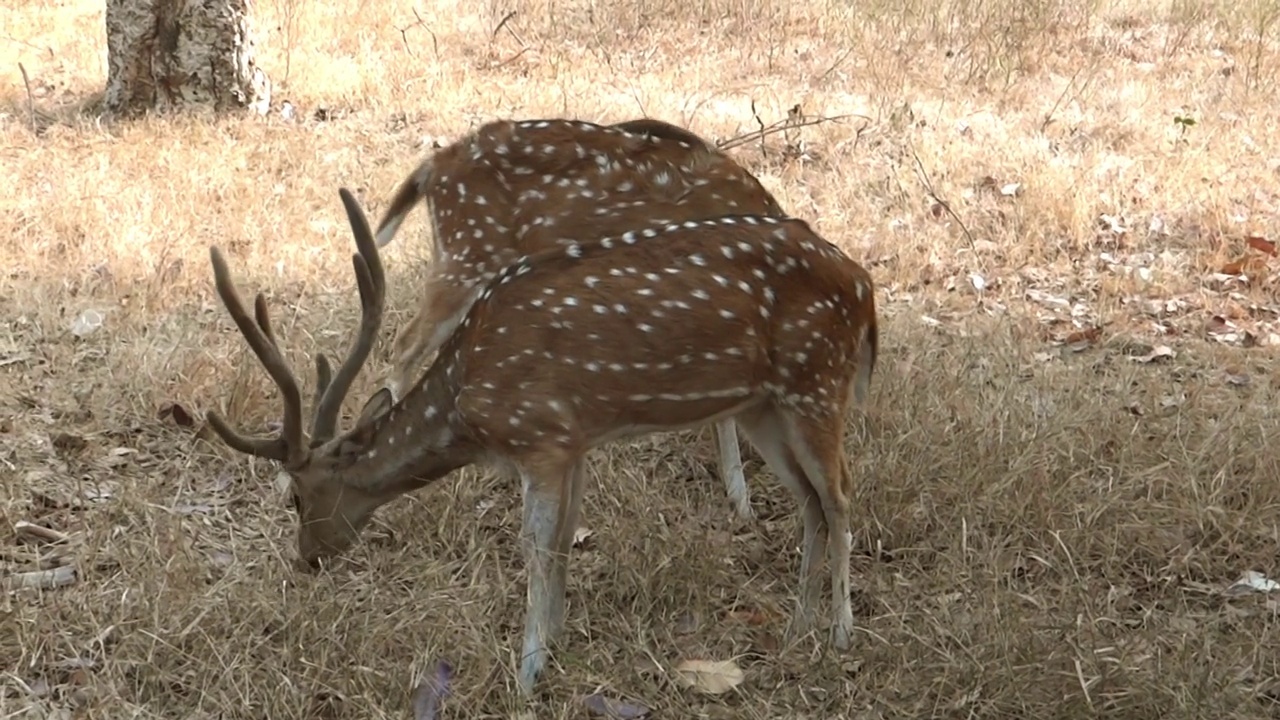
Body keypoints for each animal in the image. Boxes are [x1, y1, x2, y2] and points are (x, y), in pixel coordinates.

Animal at [204, 188, 880, 691]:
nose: (306, 558)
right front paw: (553, 643)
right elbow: (562, 540)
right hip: (765, 406)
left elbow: (535, 544)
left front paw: (527, 671)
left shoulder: (540, 435)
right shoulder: (575, 439)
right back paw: (797, 627)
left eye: (296, 496)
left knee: (842, 494)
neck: (469, 403)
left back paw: (841, 633)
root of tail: (864, 285)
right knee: (811, 501)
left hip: (817, 379)